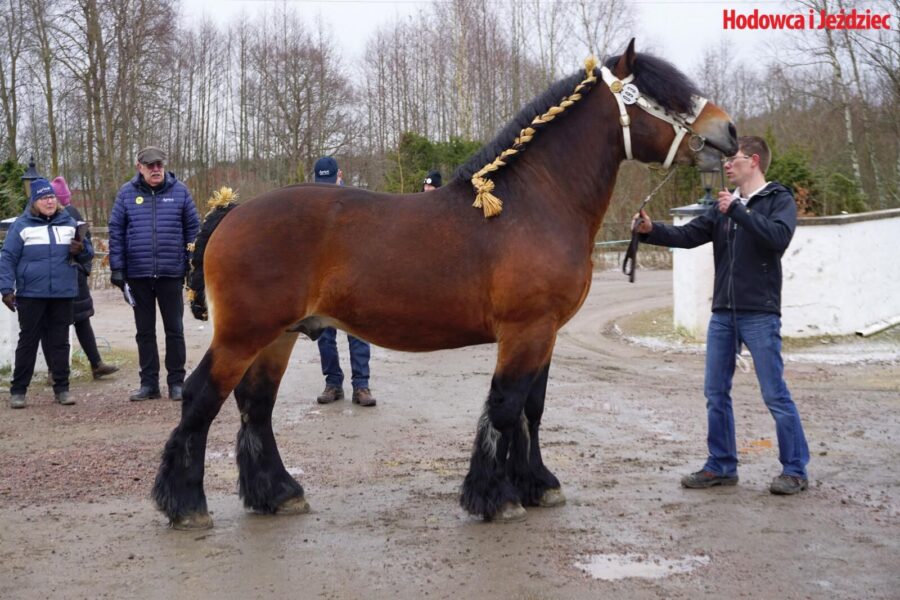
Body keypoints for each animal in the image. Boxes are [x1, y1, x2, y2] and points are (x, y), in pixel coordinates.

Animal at [151, 41, 736, 528]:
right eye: (660, 93)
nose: (727, 132)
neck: (534, 203)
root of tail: (232, 211)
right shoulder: (525, 330)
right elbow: (505, 406)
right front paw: (494, 498)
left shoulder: (546, 334)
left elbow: (532, 408)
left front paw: (537, 485)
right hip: (244, 334)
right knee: (202, 397)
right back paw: (186, 505)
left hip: (278, 336)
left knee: (256, 405)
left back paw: (278, 493)